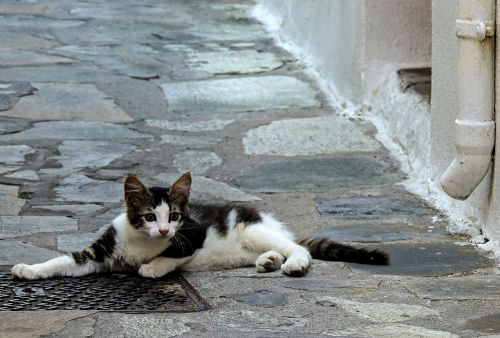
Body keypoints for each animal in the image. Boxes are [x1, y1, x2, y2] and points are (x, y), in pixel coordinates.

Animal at [9, 172, 388, 280]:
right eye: (150, 216)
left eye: (174, 216)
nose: (164, 230)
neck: (142, 240)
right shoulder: (101, 251)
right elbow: (64, 261)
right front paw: (29, 269)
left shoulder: (194, 232)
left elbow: (173, 255)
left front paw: (152, 267)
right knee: (275, 251)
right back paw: (267, 261)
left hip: (251, 227)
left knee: (298, 248)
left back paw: (291, 263)